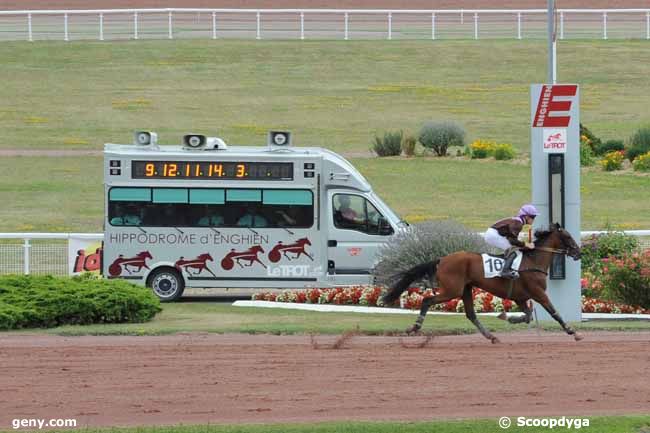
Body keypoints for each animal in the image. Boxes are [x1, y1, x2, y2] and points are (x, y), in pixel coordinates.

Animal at [382, 224, 580, 342]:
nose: (578, 252)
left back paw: (491, 336)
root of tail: (441, 259)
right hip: (452, 290)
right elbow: (554, 313)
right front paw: (573, 332)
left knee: (470, 314)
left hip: (465, 289)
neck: (533, 262)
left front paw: (508, 317)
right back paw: (414, 327)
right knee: (427, 300)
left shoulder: (521, 297)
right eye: (569, 237)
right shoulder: (538, 293)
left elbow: (528, 315)